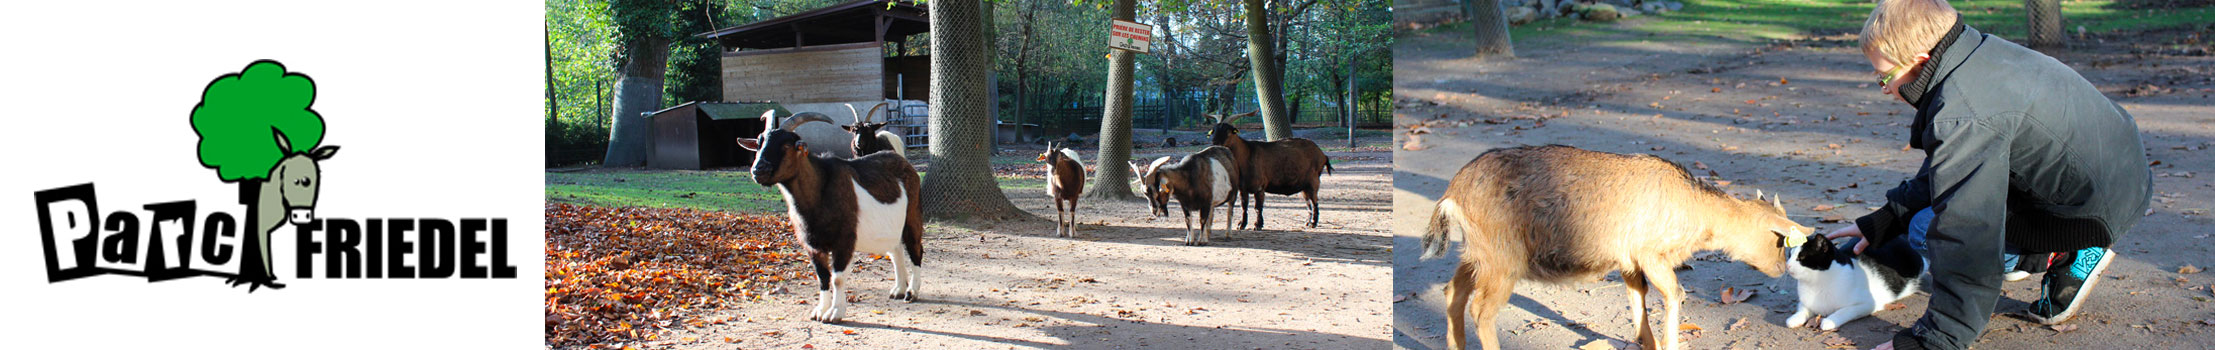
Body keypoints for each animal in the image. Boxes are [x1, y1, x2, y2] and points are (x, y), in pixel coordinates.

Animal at [739, 110, 921, 323]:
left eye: (786, 145)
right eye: (759, 144)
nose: (758, 169)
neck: (820, 190)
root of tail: (905, 164)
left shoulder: (844, 241)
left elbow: (838, 278)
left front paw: (835, 313)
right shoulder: (813, 246)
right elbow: (823, 277)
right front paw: (819, 311)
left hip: (912, 215)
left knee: (915, 249)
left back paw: (911, 292)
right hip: (891, 226)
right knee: (896, 249)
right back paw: (898, 289)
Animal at [1417, 145, 1816, 350]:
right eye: (1779, 239)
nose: (1780, 269)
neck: (1696, 209)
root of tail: (1453, 193)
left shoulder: (1629, 261)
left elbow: (1638, 299)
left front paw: (1647, 341)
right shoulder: (1651, 253)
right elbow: (1674, 294)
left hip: (1479, 253)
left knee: (1453, 290)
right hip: (1503, 259)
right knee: (1482, 310)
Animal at [1780, 233, 1922, 330]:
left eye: (1802, 257)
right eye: (1789, 255)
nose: (1787, 265)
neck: (1817, 283)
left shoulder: (1867, 304)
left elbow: (1845, 311)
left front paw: (1830, 321)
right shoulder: (1807, 301)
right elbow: (1803, 308)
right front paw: (1795, 318)